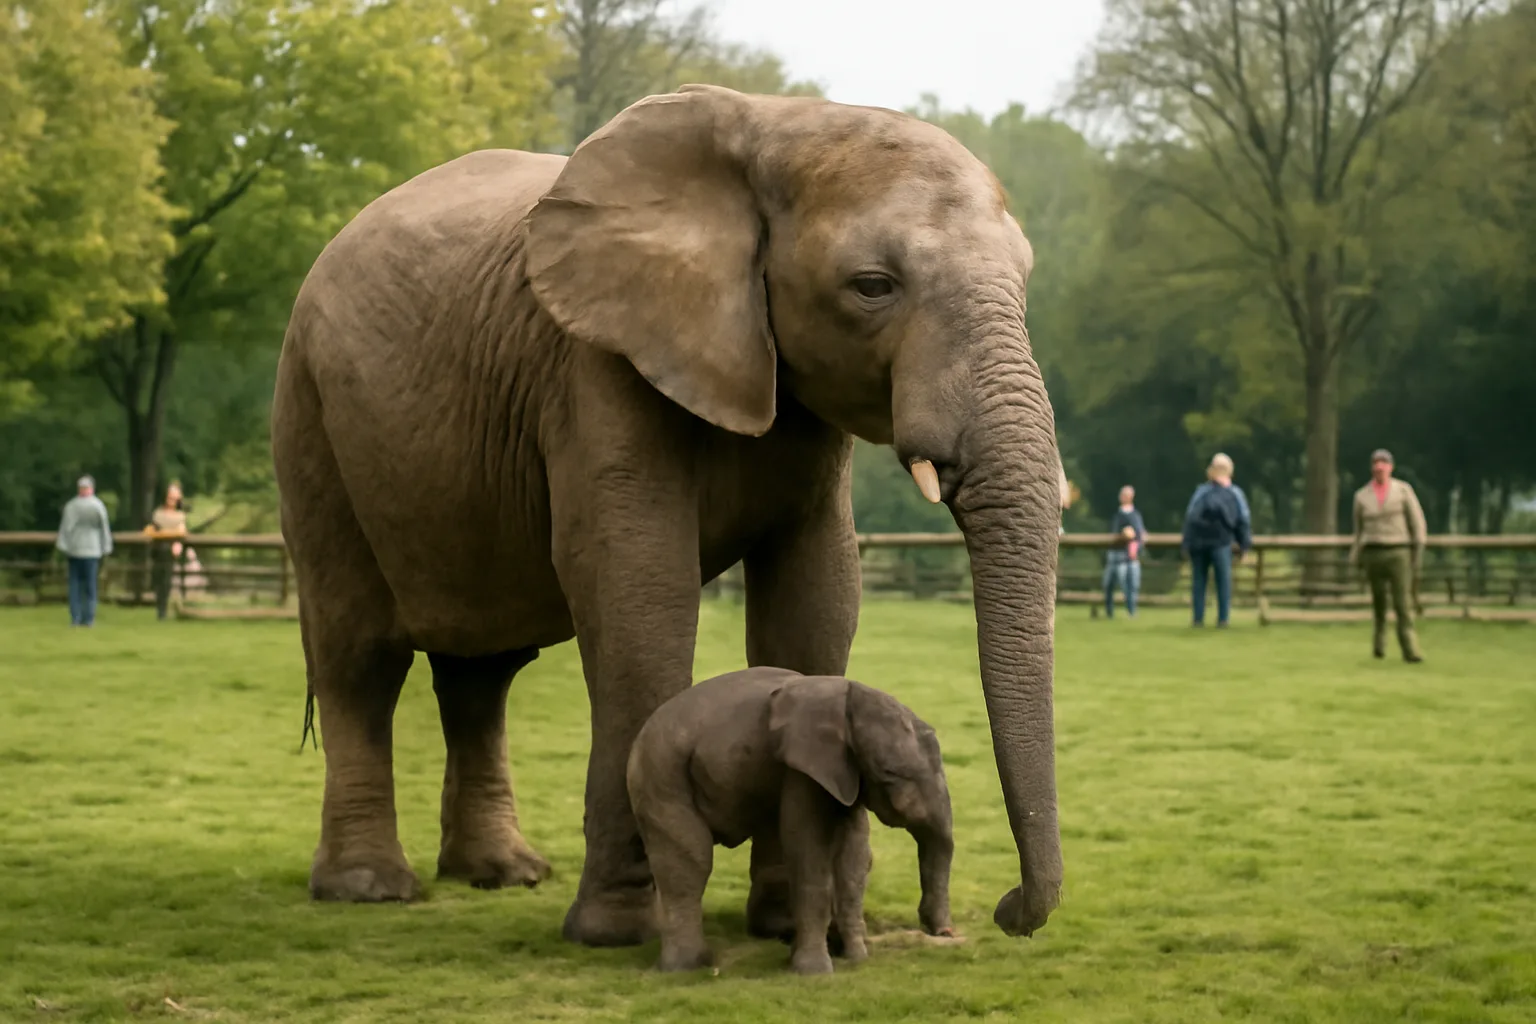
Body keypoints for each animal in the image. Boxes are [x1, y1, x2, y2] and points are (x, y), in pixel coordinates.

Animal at [626, 667, 954, 974]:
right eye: (890, 775)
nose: (944, 932)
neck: (850, 696)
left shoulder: (843, 772)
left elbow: (854, 851)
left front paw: (855, 957)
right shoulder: (803, 767)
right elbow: (808, 849)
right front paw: (815, 972)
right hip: (660, 775)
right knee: (690, 861)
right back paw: (687, 967)